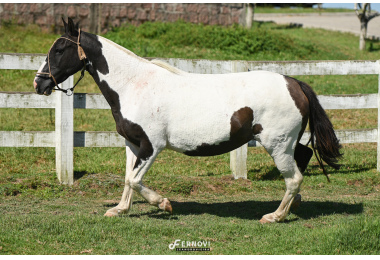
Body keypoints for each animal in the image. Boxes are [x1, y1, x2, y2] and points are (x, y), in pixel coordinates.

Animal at [32, 18, 342, 222]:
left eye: (59, 50)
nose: (39, 83)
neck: (134, 85)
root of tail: (294, 82)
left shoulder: (152, 147)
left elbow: (135, 180)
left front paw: (164, 204)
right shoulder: (133, 145)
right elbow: (127, 178)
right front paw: (119, 210)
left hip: (277, 144)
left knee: (294, 177)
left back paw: (275, 216)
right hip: (286, 143)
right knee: (303, 159)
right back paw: (294, 205)